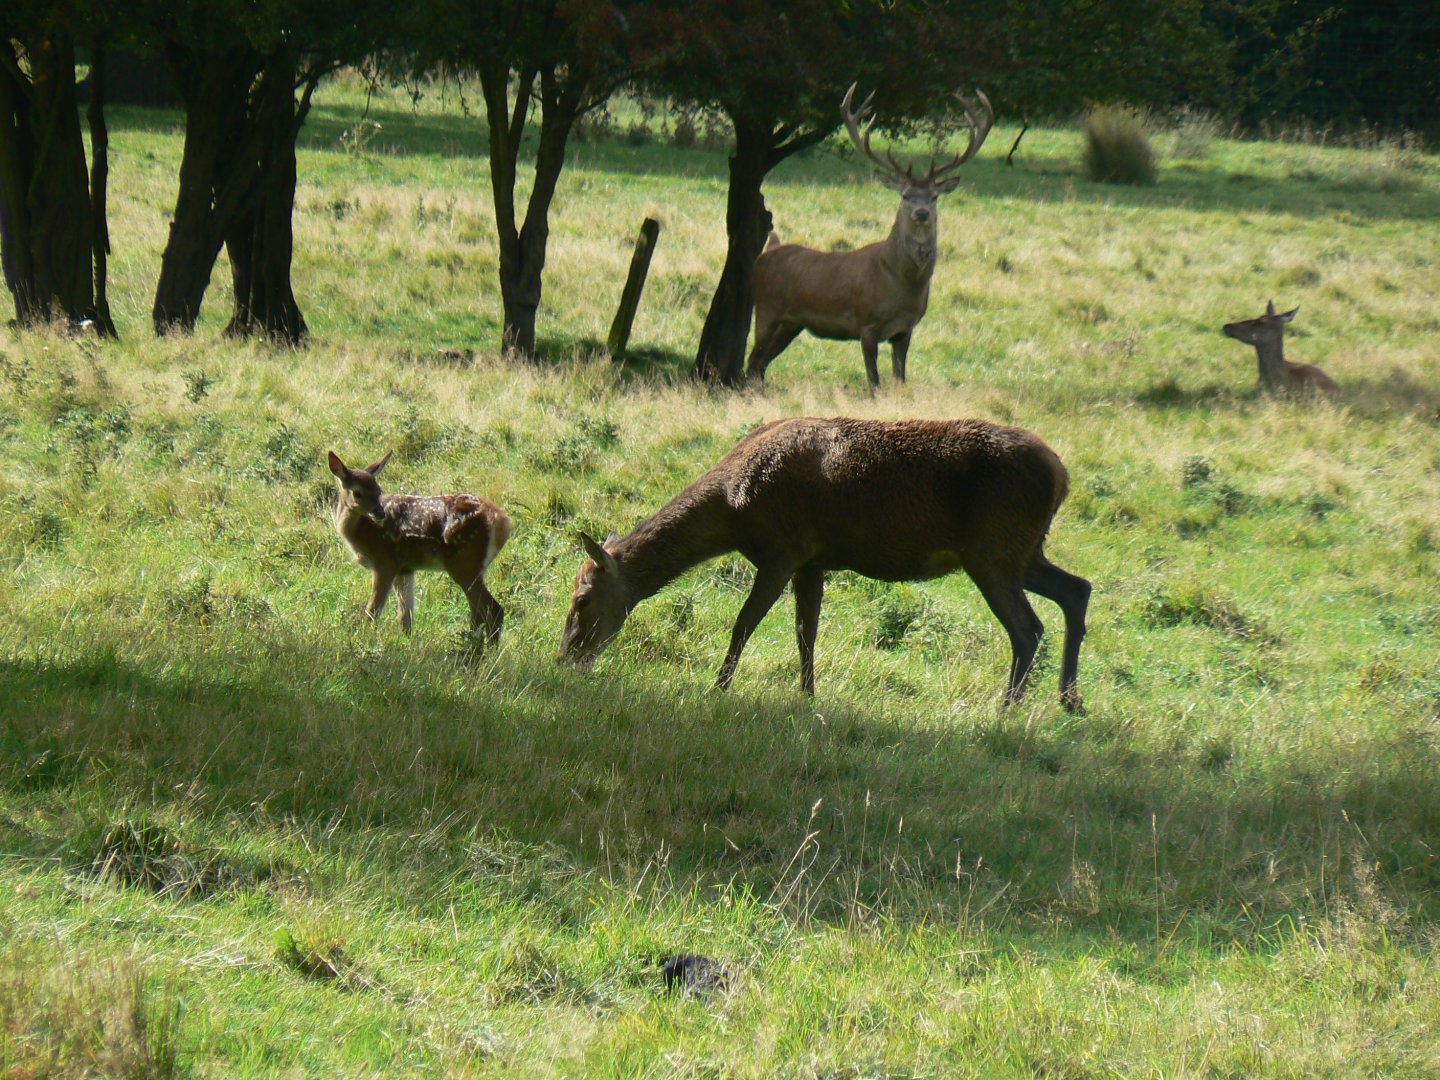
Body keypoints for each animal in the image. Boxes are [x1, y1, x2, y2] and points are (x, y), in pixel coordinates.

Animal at [328, 450, 512, 644]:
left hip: (464, 563)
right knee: (477, 615)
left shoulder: (385, 561)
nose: (379, 512)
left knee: (493, 611)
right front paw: (407, 644)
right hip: (475, 567)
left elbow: (372, 612)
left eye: (378, 491)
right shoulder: (405, 569)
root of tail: (503, 521)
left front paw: (364, 640)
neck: (362, 531)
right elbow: (405, 617)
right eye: (357, 493)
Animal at [558, 417, 1090, 712]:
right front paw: (808, 695)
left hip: (993, 548)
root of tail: (1062, 475)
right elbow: (805, 632)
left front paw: (718, 688)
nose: (565, 658)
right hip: (1024, 550)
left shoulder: (783, 548)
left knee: (1027, 627)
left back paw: (1007, 708)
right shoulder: (813, 561)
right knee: (1077, 588)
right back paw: (1069, 700)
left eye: (581, 600)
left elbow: (744, 624)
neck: (733, 510)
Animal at [745, 83, 993, 389]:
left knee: (760, 365)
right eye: (905, 195)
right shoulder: (866, 323)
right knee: (752, 361)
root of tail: (766, 253)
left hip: (792, 324)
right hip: (767, 307)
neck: (901, 285)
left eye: (934, 196)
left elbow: (899, 379)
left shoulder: (906, 329)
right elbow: (874, 383)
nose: (922, 212)